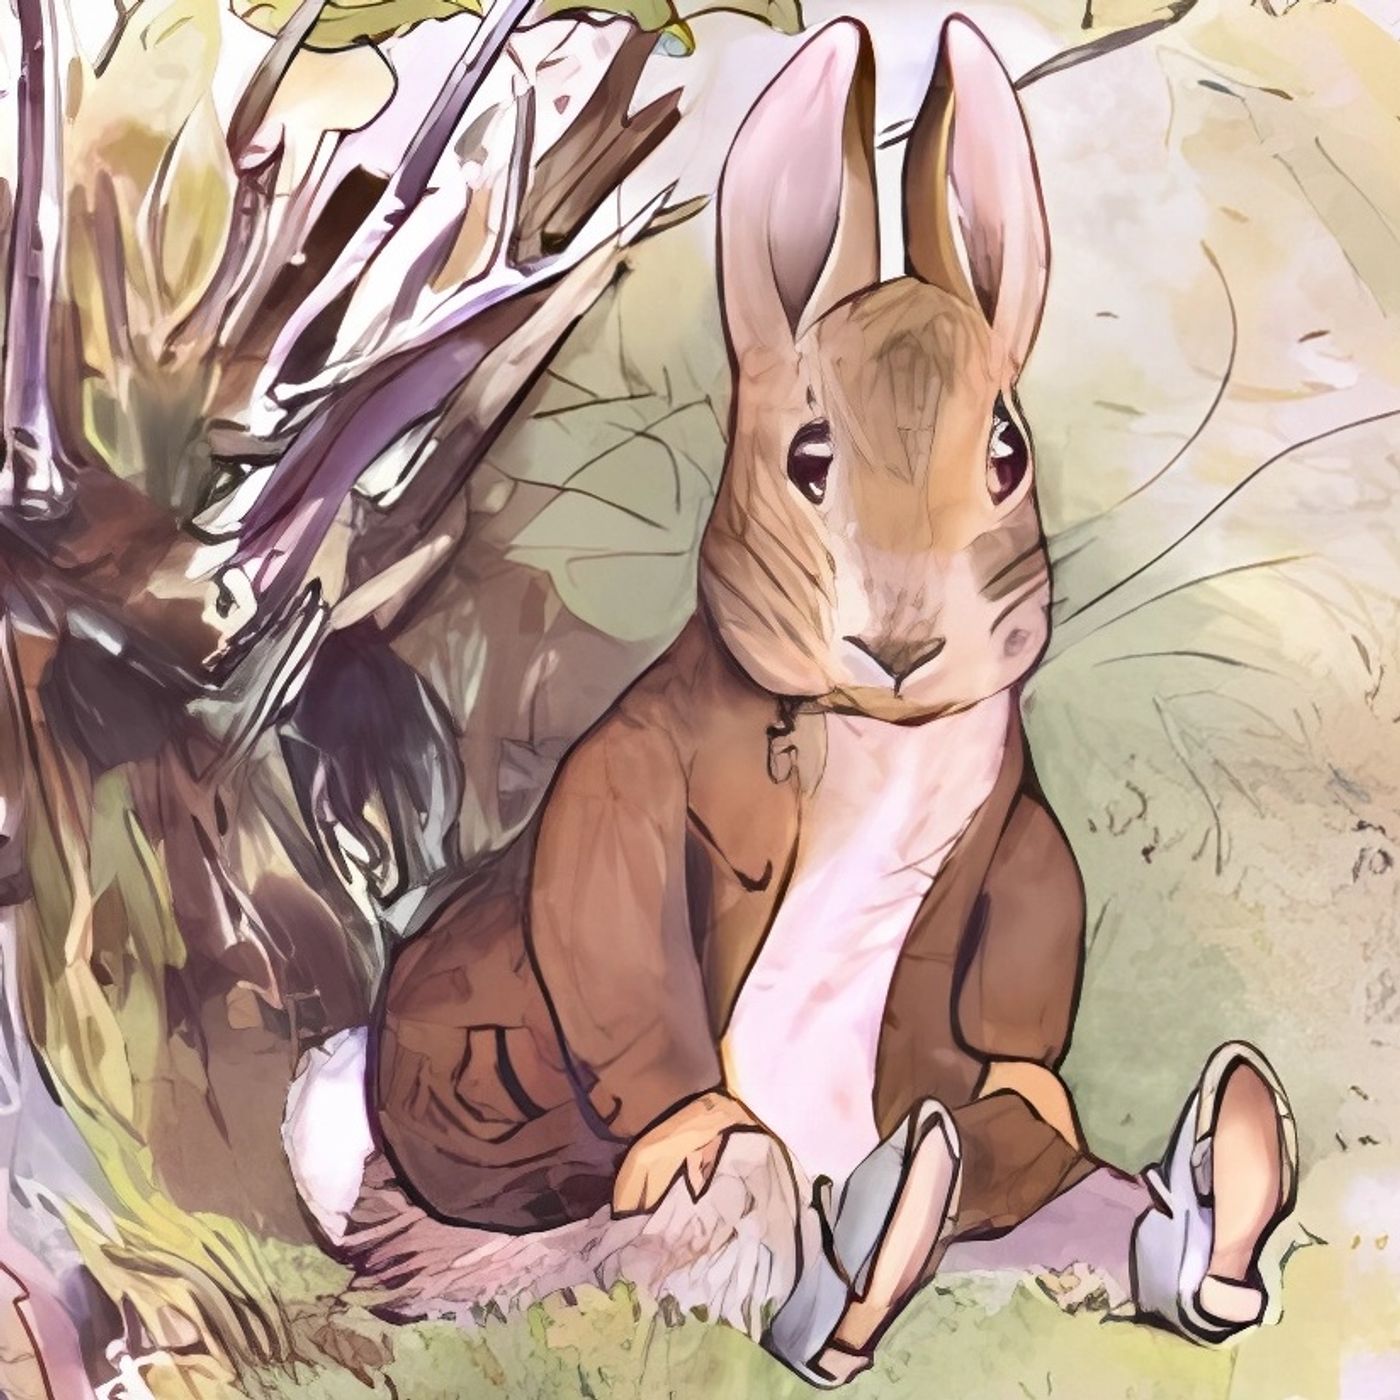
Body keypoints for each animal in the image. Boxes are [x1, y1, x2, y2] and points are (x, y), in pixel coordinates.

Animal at [371, 14, 1299, 1384]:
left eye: (1007, 450)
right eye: (807, 457)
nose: (904, 641)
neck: (876, 730)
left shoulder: (1011, 822)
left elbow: (1033, 934)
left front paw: (1034, 1089)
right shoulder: (633, 775)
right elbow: (608, 913)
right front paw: (683, 1127)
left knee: (1026, 1184)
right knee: (722, 1221)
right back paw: (845, 1272)